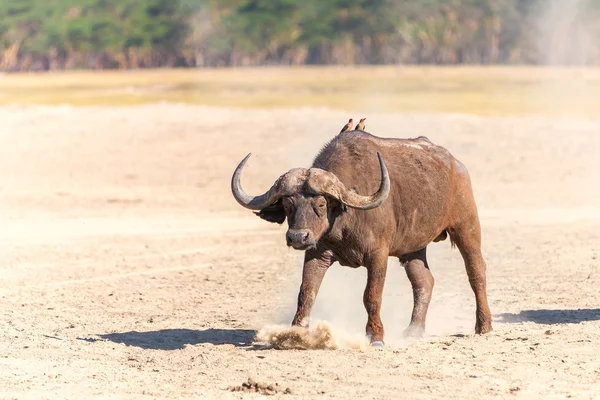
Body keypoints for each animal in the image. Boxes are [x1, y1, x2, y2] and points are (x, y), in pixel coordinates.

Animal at [230, 130, 492, 344]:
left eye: (321, 204)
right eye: (287, 204)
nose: (297, 237)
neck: (344, 219)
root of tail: (457, 165)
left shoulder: (378, 255)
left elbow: (371, 295)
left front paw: (375, 336)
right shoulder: (316, 254)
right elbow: (306, 292)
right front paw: (296, 334)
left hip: (466, 226)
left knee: (476, 272)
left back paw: (483, 326)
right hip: (413, 249)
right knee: (424, 281)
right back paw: (413, 331)